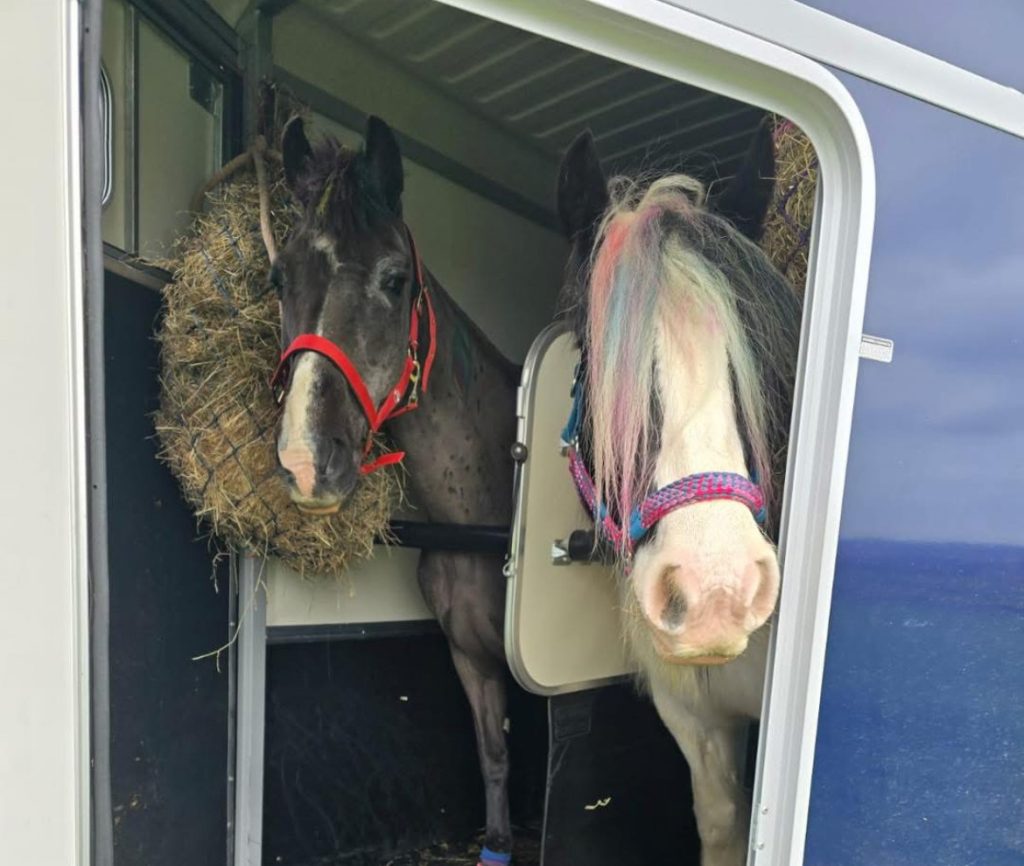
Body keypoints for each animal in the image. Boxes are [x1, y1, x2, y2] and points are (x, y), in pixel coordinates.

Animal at [271, 114, 519, 866]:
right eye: (279, 276)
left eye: (394, 278)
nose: (305, 460)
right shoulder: (470, 657)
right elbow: (493, 755)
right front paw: (499, 843)